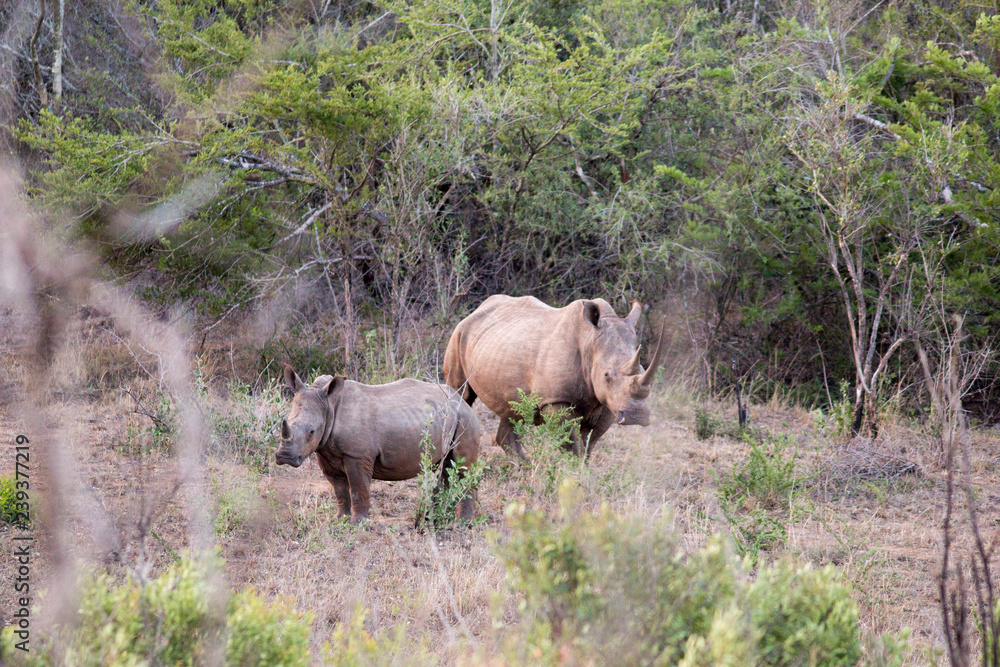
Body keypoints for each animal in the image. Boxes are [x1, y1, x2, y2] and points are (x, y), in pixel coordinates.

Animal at [275, 364, 481, 523]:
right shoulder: (324, 451)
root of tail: (461, 400)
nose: (285, 457)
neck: (329, 407)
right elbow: (340, 490)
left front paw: (358, 523)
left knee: (463, 469)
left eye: (311, 432)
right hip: (451, 416)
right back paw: (441, 517)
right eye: (285, 422)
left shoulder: (357, 455)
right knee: (447, 468)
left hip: (466, 419)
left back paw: (462, 523)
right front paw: (340, 519)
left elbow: (358, 489)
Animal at [443, 295, 664, 460]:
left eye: (643, 369)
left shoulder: (609, 403)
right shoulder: (556, 400)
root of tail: (477, 310)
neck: (589, 342)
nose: (637, 416)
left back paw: (523, 467)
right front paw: (575, 476)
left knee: (511, 408)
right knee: (461, 394)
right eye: (607, 375)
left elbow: (588, 444)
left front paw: (584, 475)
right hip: (459, 334)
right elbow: (572, 445)